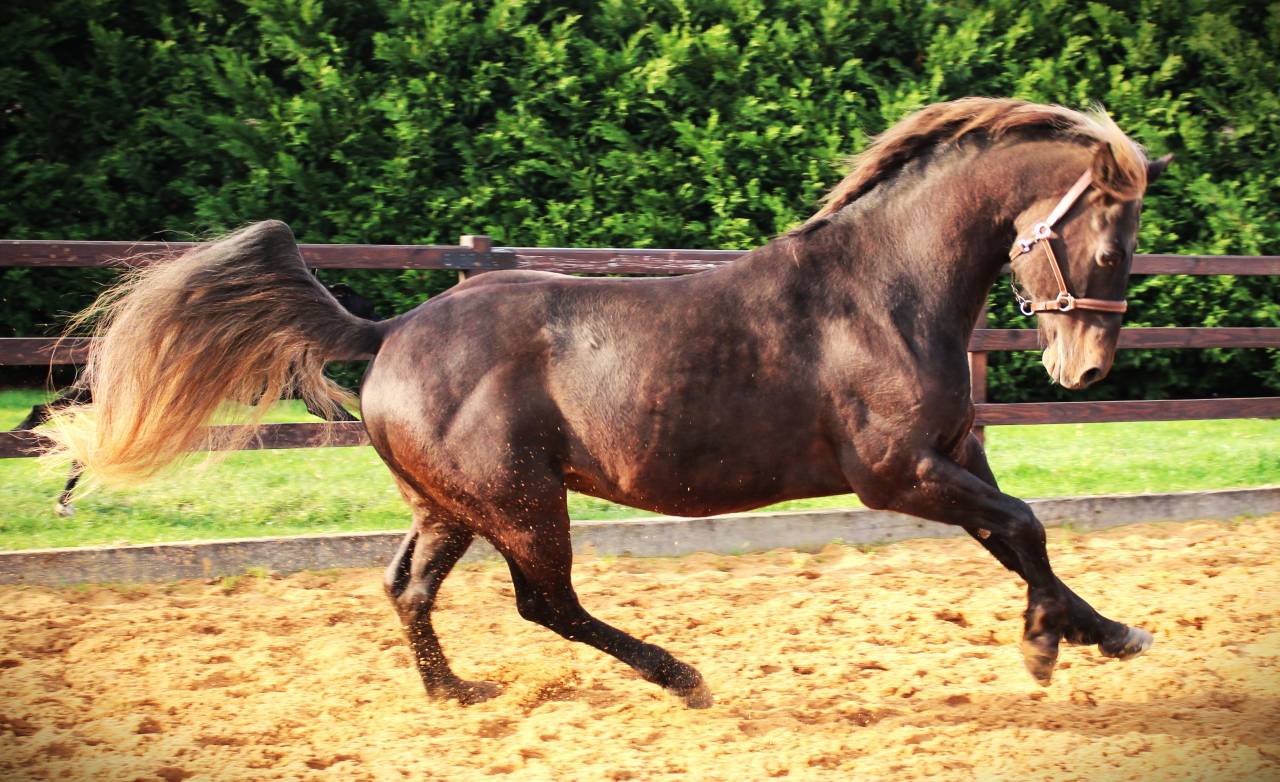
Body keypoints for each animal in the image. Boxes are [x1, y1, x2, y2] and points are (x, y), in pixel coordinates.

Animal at [16, 283, 381, 515]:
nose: (379, 315)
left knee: (72, 435)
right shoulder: (308, 394)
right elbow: (349, 420)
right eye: (358, 298)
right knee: (53, 416)